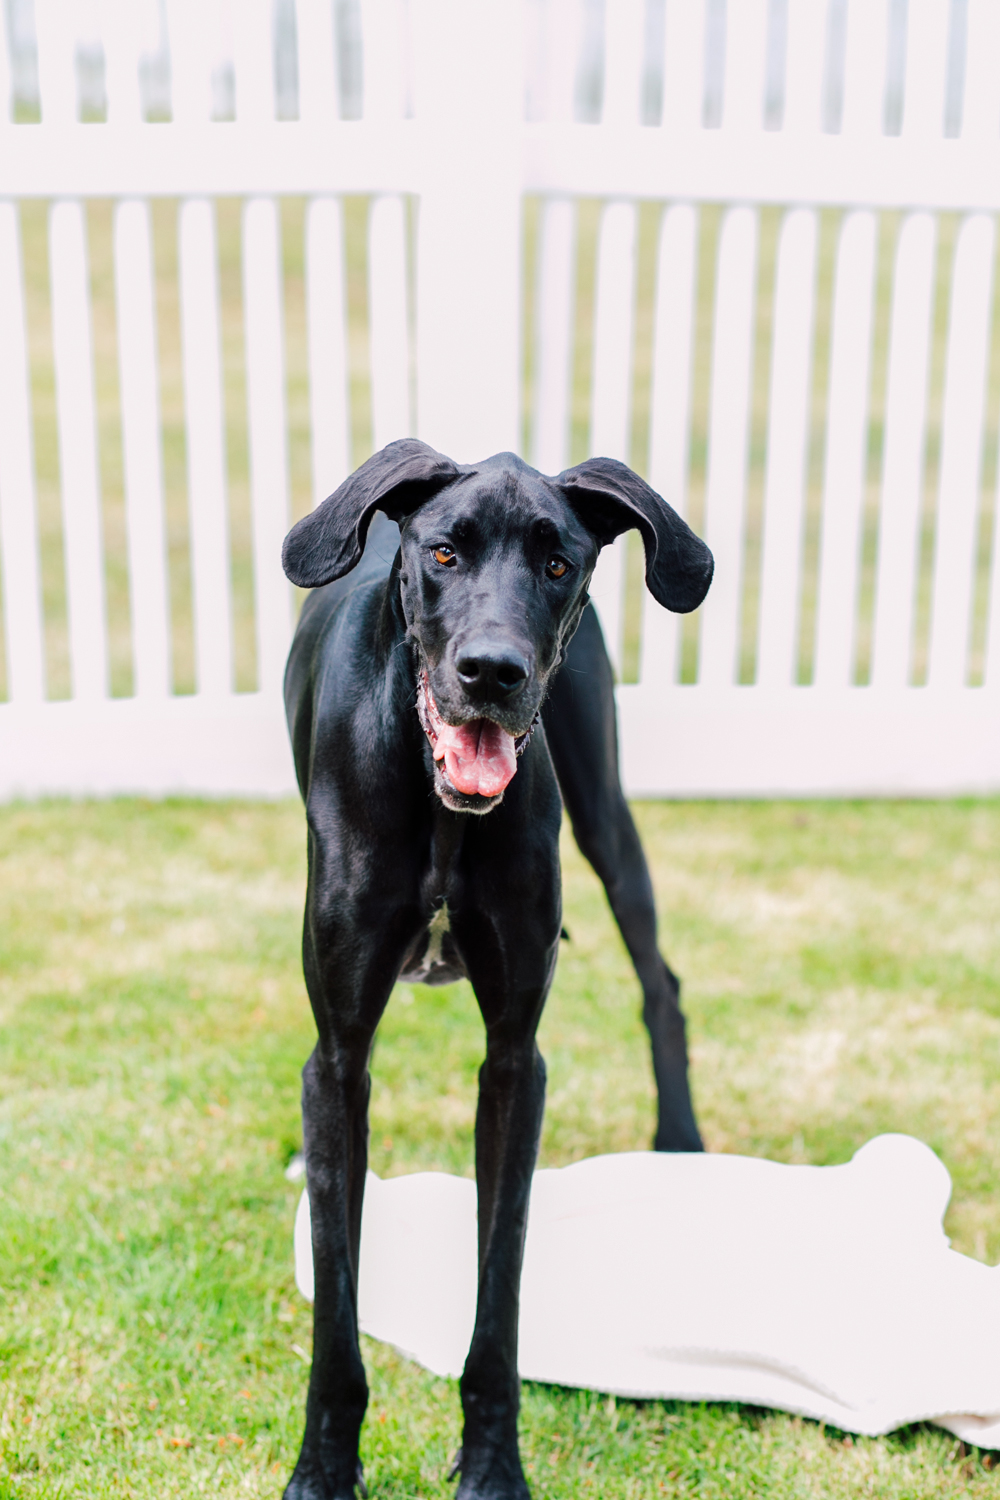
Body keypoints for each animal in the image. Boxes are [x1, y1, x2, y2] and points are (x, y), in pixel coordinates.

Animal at [281, 438, 710, 1494]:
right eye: (442, 553)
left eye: (558, 563)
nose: (492, 671)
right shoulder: (337, 1061)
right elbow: (337, 1296)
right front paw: (323, 1468)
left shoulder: (516, 1063)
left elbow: (500, 1286)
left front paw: (491, 1465)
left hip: (605, 810)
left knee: (661, 981)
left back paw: (679, 1140)